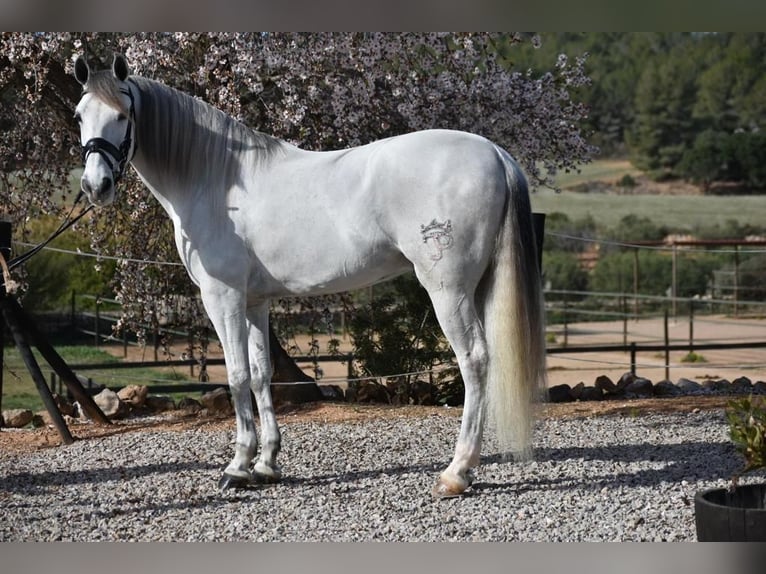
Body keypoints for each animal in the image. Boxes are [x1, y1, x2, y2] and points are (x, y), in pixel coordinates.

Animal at [73, 55, 544, 500]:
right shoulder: (254, 302)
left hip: (448, 289)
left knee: (474, 360)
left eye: (122, 115)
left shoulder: (222, 297)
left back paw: (455, 473)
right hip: (476, 287)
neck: (216, 181)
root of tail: (494, 152)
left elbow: (236, 375)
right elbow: (261, 374)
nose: (96, 186)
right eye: (80, 115)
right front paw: (266, 464)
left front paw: (237, 468)